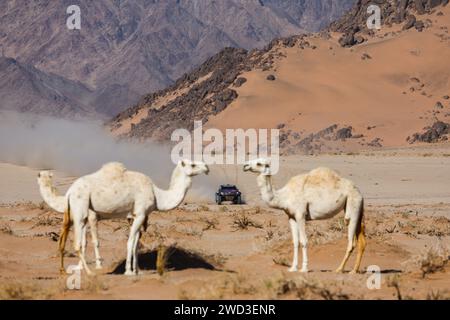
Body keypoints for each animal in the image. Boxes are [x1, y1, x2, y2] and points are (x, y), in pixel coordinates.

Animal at [37, 159, 209, 276]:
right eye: (193, 164)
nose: (207, 168)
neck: (157, 194)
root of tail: (70, 191)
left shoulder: (136, 216)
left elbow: (136, 244)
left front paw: (137, 270)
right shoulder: (140, 213)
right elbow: (130, 242)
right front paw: (128, 271)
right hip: (81, 208)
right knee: (78, 244)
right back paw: (89, 272)